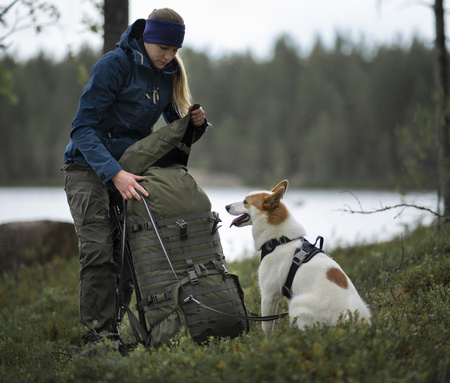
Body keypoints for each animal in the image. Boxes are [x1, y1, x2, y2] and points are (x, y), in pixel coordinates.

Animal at [227, 181, 370, 336]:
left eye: (245, 201)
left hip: (297, 304)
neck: (280, 240)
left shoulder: (269, 295)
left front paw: (266, 340)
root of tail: (353, 323)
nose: (226, 206)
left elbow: (267, 327)